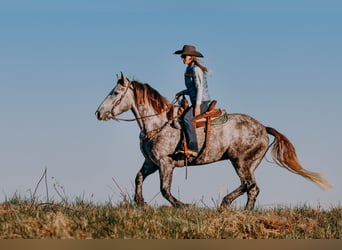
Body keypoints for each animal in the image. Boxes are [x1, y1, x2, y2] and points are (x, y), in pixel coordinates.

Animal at [95, 73, 332, 209]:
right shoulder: (151, 163)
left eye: (115, 92)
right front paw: (141, 203)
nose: (98, 113)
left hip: (241, 162)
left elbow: (164, 190)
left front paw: (184, 206)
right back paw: (241, 210)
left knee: (249, 185)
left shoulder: (165, 163)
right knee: (252, 188)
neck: (157, 123)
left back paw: (228, 205)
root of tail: (263, 128)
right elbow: (138, 178)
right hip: (250, 164)